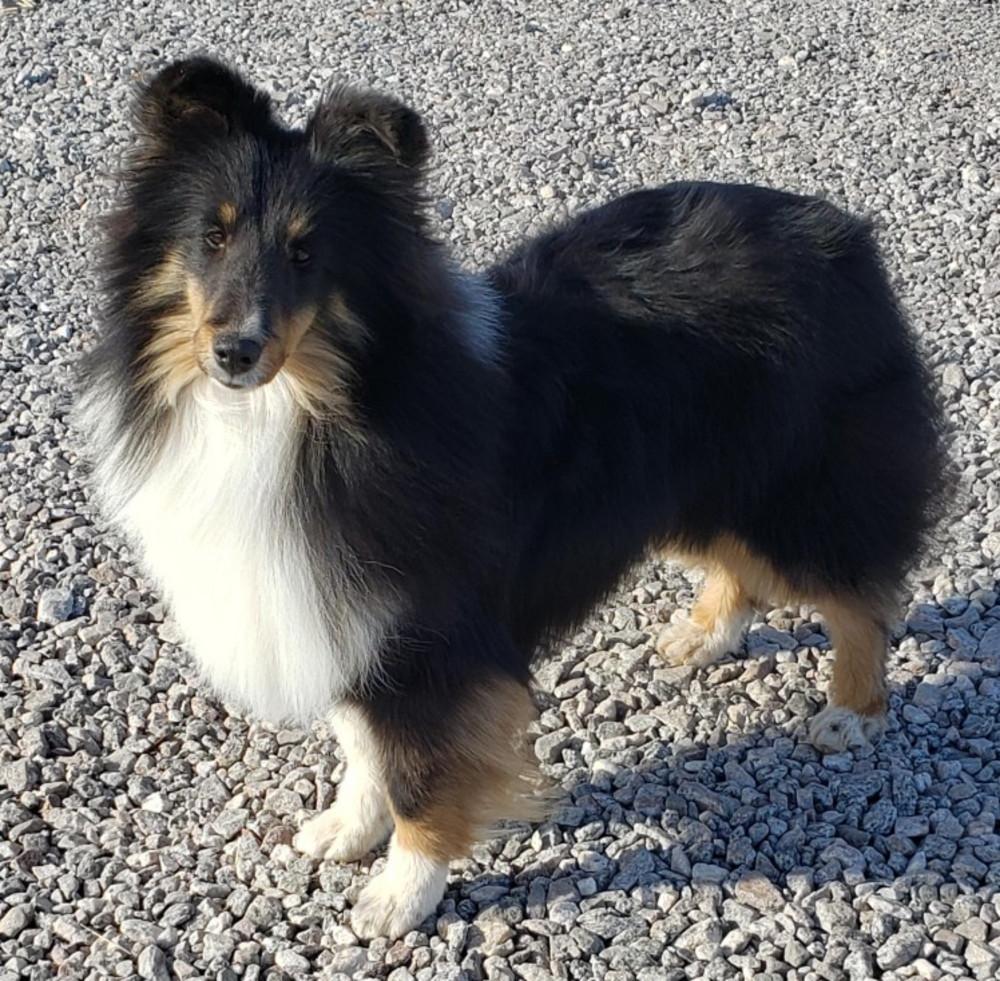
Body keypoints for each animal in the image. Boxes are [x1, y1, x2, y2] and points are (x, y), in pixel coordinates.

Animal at [78, 57, 947, 939]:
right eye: (212, 235)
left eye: (306, 251)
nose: (234, 351)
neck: (315, 407)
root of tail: (838, 228)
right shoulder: (345, 605)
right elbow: (362, 739)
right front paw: (348, 827)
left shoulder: (430, 634)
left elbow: (418, 773)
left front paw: (401, 894)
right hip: (691, 485)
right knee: (746, 565)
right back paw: (703, 634)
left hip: (798, 489)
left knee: (861, 592)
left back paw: (852, 709)